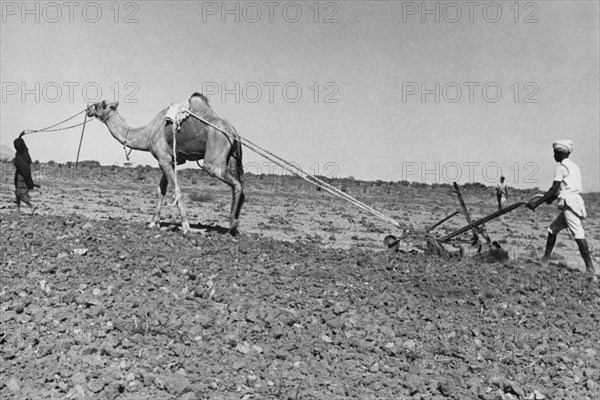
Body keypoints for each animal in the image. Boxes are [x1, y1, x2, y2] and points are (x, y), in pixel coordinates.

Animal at [85, 94, 245, 234]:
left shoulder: (163, 159)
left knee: (235, 183)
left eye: (99, 104)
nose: (88, 109)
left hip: (215, 151)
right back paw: (235, 226)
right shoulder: (169, 160)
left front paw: (186, 227)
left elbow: (176, 190)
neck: (147, 133)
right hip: (232, 156)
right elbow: (160, 190)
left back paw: (232, 225)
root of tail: (234, 131)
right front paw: (152, 223)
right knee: (240, 183)